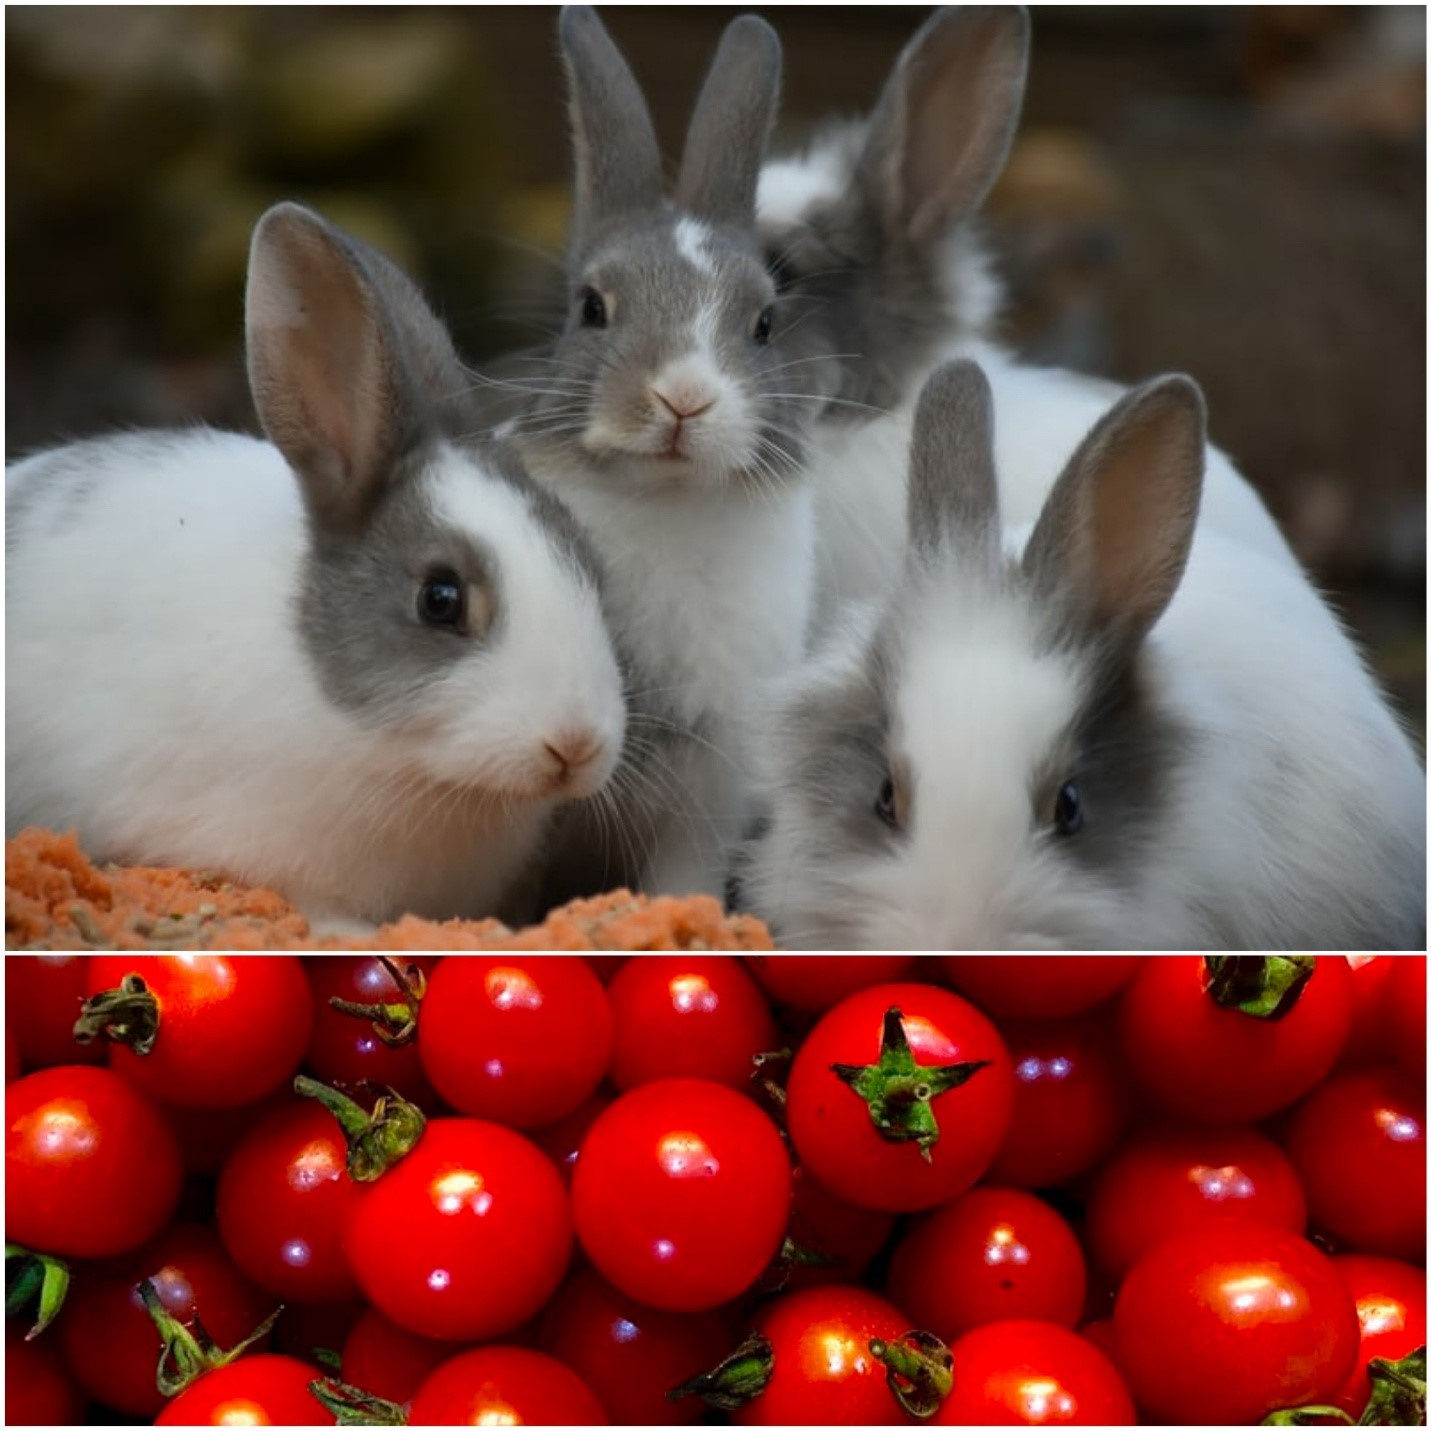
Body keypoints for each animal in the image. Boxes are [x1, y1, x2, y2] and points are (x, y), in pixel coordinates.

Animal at [501, 7, 816, 901]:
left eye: (764, 323)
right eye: (591, 308)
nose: (682, 394)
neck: (668, 499)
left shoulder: (706, 792)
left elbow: (683, 876)